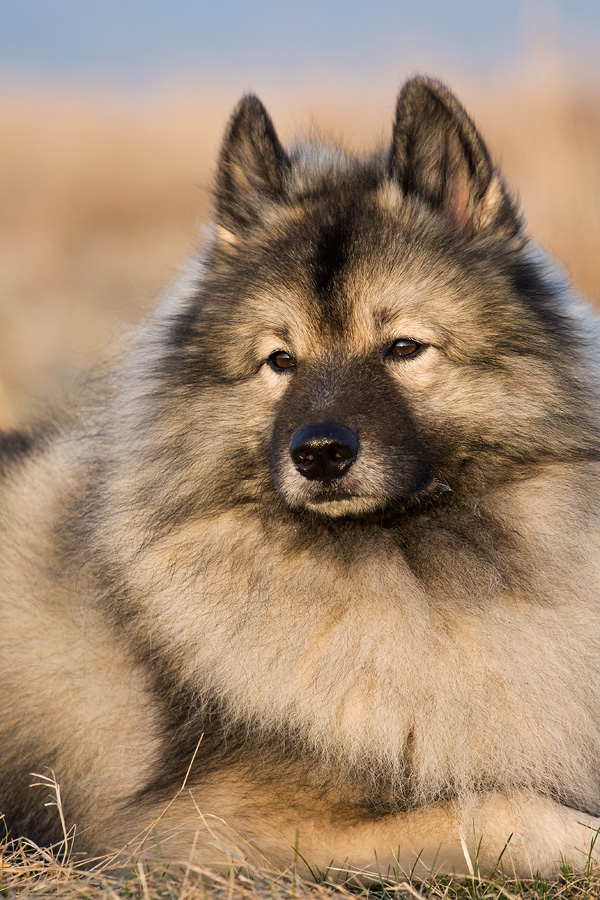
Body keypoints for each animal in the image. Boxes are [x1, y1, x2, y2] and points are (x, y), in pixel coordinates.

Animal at [1, 77, 600, 880]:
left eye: (404, 347)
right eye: (280, 361)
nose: (317, 454)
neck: (404, 581)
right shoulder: (202, 826)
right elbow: (499, 808)